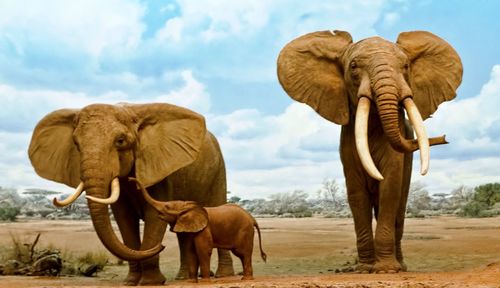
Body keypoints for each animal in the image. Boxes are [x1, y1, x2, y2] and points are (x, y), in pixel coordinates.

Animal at [28, 102, 234, 284]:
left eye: (120, 141)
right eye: (76, 144)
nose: (162, 246)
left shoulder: (159, 170)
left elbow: (154, 216)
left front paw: (150, 282)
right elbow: (124, 219)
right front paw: (131, 282)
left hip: (219, 168)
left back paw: (223, 276)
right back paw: (183, 278)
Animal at [131, 178, 268, 282]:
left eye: (167, 206)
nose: (130, 179)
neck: (187, 206)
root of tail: (252, 217)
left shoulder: (204, 229)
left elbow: (203, 250)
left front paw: (205, 281)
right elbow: (190, 252)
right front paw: (192, 282)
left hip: (245, 230)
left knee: (243, 253)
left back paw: (246, 279)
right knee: (241, 254)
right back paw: (245, 278)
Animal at [278, 30, 460, 274]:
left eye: (405, 66)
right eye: (353, 66)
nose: (444, 138)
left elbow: (390, 188)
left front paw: (386, 270)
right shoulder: (347, 144)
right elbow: (356, 193)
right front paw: (365, 268)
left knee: (399, 208)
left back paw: (401, 265)